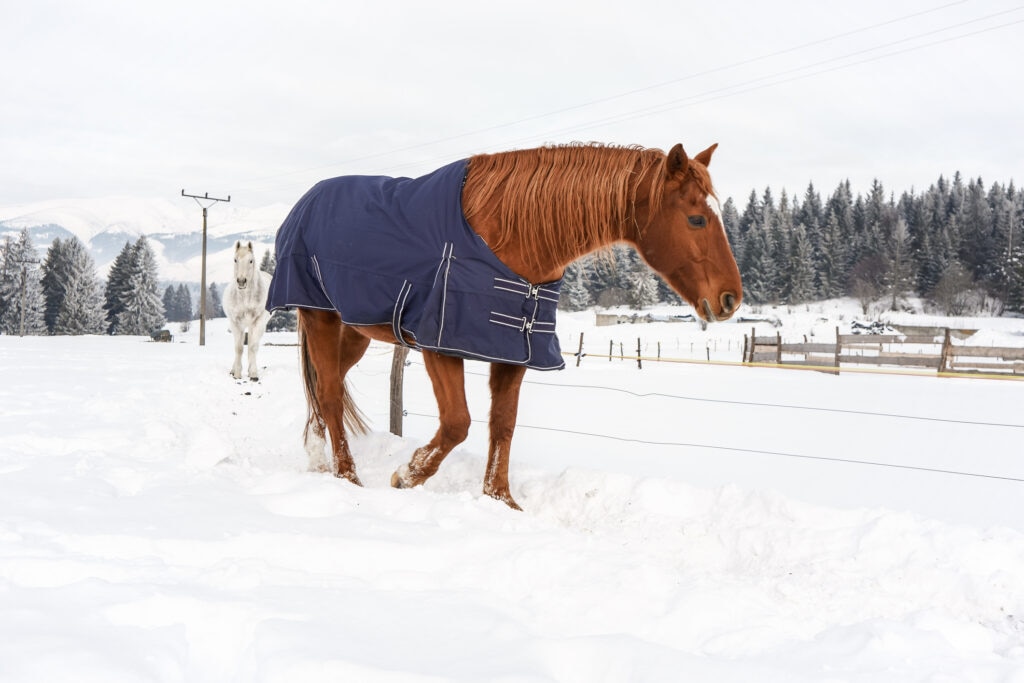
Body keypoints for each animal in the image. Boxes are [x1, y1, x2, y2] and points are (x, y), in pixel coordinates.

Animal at [222, 241, 272, 381]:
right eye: (235, 260)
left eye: (251, 260)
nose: (241, 281)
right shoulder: (235, 322)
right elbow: (238, 348)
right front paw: (237, 374)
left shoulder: (258, 322)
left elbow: (253, 347)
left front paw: (253, 374)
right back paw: (233, 370)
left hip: (258, 325)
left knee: (252, 344)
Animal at [266, 142, 742, 509]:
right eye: (697, 219)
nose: (730, 299)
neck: (511, 238)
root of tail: (306, 202)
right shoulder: (442, 345)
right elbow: (457, 423)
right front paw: (407, 475)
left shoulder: (514, 349)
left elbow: (503, 424)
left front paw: (500, 499)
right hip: (320, 317)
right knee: (329, 392)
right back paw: (346, 475)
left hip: (354, 330)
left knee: (325, 387)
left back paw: (318, 458)